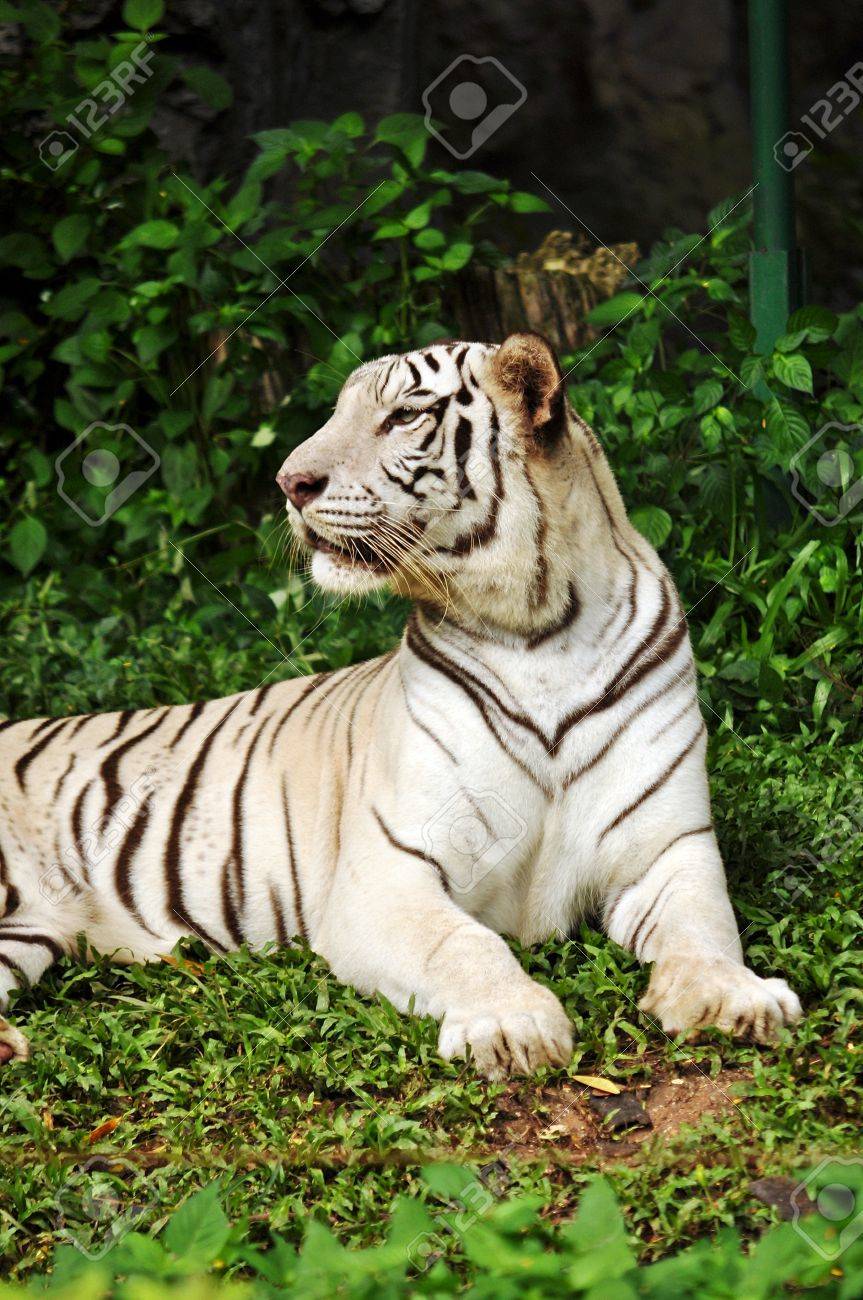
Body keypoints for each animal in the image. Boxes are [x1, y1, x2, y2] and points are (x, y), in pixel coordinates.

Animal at [0, 332, 802, 1075]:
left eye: (403, 416)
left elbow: (704, 930)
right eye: (338, 412)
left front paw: (735, 999)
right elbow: (465, 944)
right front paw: (510, 1025)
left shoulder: (670, 850)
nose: (289, 481)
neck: (541, 632)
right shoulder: (388, 870)